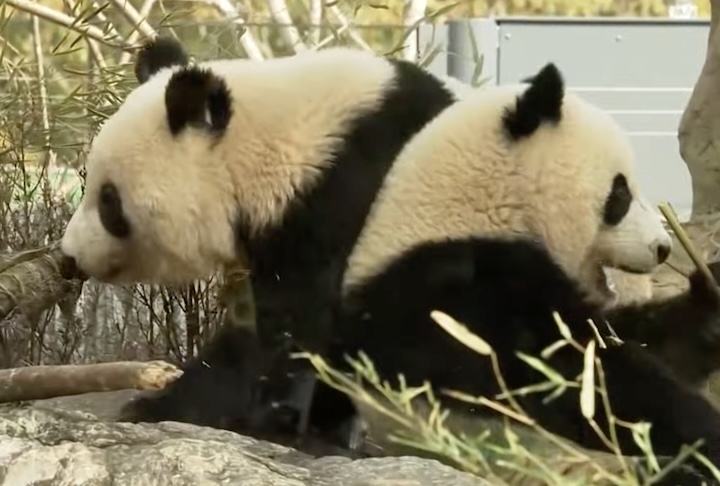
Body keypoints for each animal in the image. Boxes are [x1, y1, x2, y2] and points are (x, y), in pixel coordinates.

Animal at [300, 63, 720, 480]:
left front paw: (709, 297)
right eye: (621, 194)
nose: (663, 248)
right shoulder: (456, 291)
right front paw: (704, 433)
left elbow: (634, 340)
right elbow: (579, 374)